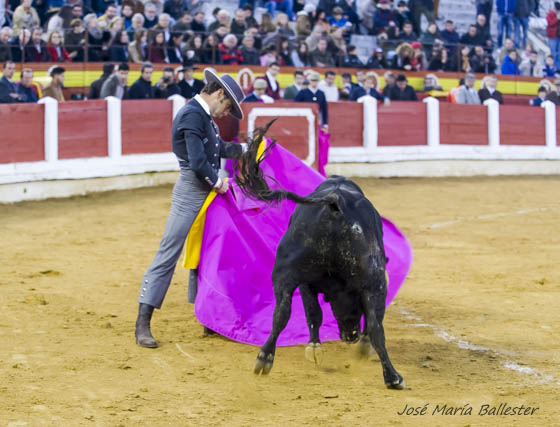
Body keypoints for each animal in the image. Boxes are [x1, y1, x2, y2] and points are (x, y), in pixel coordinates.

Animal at [234, 125, 404, 390]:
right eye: (354, 308)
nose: (350, 336)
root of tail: (334, 202)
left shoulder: (306, 281)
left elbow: (312, 312)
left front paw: (314, 348)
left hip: (286, 274)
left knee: (281, 312)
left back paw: (265, 358)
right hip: (372, 280)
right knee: (376, 326)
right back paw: (392, 376)